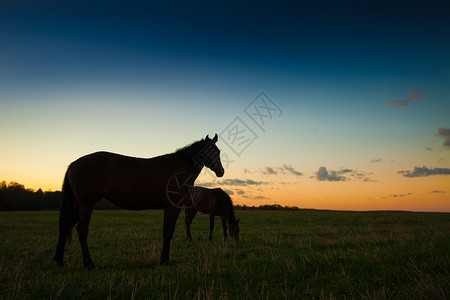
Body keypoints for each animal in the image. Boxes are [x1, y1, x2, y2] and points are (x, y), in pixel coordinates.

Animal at [53, 134, 224, 268]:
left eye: (218, 151)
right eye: (212, 150)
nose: (221, 171)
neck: (179, 168)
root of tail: (74, 164)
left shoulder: (167, 208)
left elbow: (165, 233)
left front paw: (163, 259)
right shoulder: (173, 208)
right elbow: (169, 233)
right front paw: (166, 261)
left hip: (80, 206)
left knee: (66, 226)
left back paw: (59, 260)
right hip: (86, 204)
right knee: (81, 230)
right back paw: (88, 263)